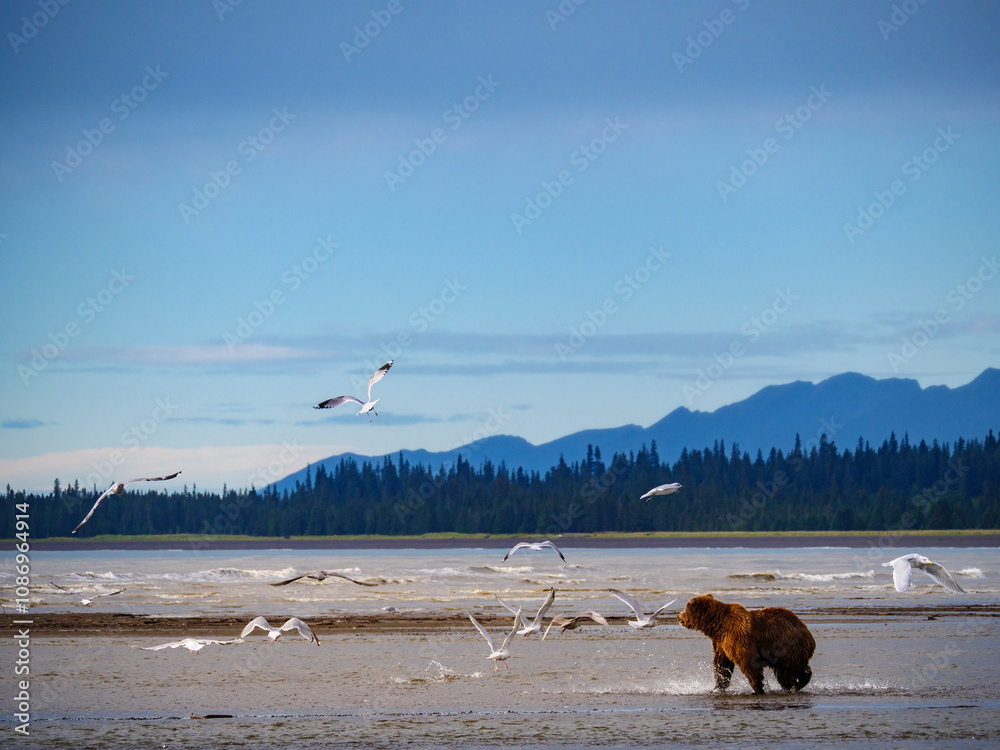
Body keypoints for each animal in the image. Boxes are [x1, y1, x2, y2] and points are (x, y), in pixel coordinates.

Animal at [677, 594, 815, 694]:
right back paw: (789, 686)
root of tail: (808, 632)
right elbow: (722, 665)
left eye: (686, 609)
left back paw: (798, 684)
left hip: (787, 645)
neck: (719, 627)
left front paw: (758, 688)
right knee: (783, 673)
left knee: (794, 666)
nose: (678, 616)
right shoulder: (721, 643)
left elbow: (749, 662)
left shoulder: (739, 637)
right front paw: (718, 687)